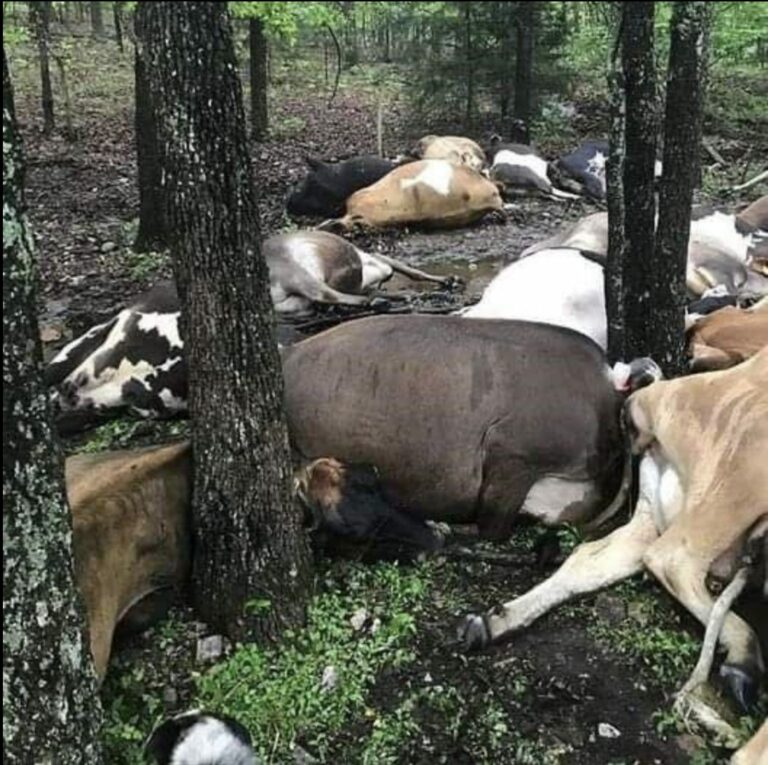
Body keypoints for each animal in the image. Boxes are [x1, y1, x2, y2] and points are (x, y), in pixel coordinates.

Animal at [460, 350, 768, 712]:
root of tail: (647, 399)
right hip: (736, 480)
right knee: (672, 559)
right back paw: (743, 663)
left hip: (652, 517)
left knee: (590, 559)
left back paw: (490, 623)